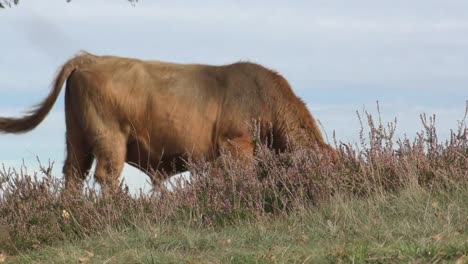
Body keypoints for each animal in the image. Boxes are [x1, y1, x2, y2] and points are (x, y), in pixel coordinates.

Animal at [1, 52, 334, 192]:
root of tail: (91, 57)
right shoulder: (236, 142)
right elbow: (244, 175)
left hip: (78, 139)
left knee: (73, 175)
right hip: (110, 138)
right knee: (106, 176)